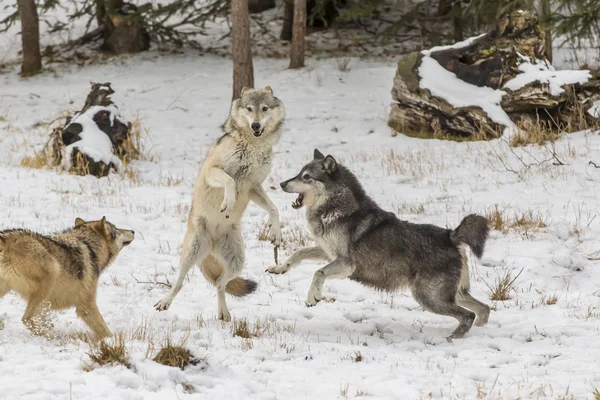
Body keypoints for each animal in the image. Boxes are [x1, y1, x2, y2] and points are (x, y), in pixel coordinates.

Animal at [0, 217, 134, 340]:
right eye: (116, 230)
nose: (133, 230)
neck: (89, 246)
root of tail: (4, 239)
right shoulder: (86, 304)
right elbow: (105, 330)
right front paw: (112, 341)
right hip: (51, 274)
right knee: (27, 318)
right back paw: (52, 336)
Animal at [155, 86, 286, 320]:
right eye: (249, 109)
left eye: (264, 108)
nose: (255, 125)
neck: (253, 146)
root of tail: (213, 244)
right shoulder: (213, 171)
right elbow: (230, 181)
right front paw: (227, 204)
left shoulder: (253, 186)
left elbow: (274, 207)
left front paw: (276, 234)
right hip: (191, 253)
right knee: (179, 282)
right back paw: (164, 302)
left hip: (237, 263)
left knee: (219, 283)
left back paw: (224, 314)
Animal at [268, 148, 492, 340]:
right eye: (298, 174)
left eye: (307, 177)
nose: (281, 184)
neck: (338, 209)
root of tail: (451, 236)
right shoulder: (327, 252)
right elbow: (298, 253)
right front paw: (279, 268)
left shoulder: (347, 264)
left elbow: (318, 273)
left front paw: (312, 297)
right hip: (453, 295)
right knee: (484, 309)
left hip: (429, 298)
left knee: (468, 315)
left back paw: (451, 338)